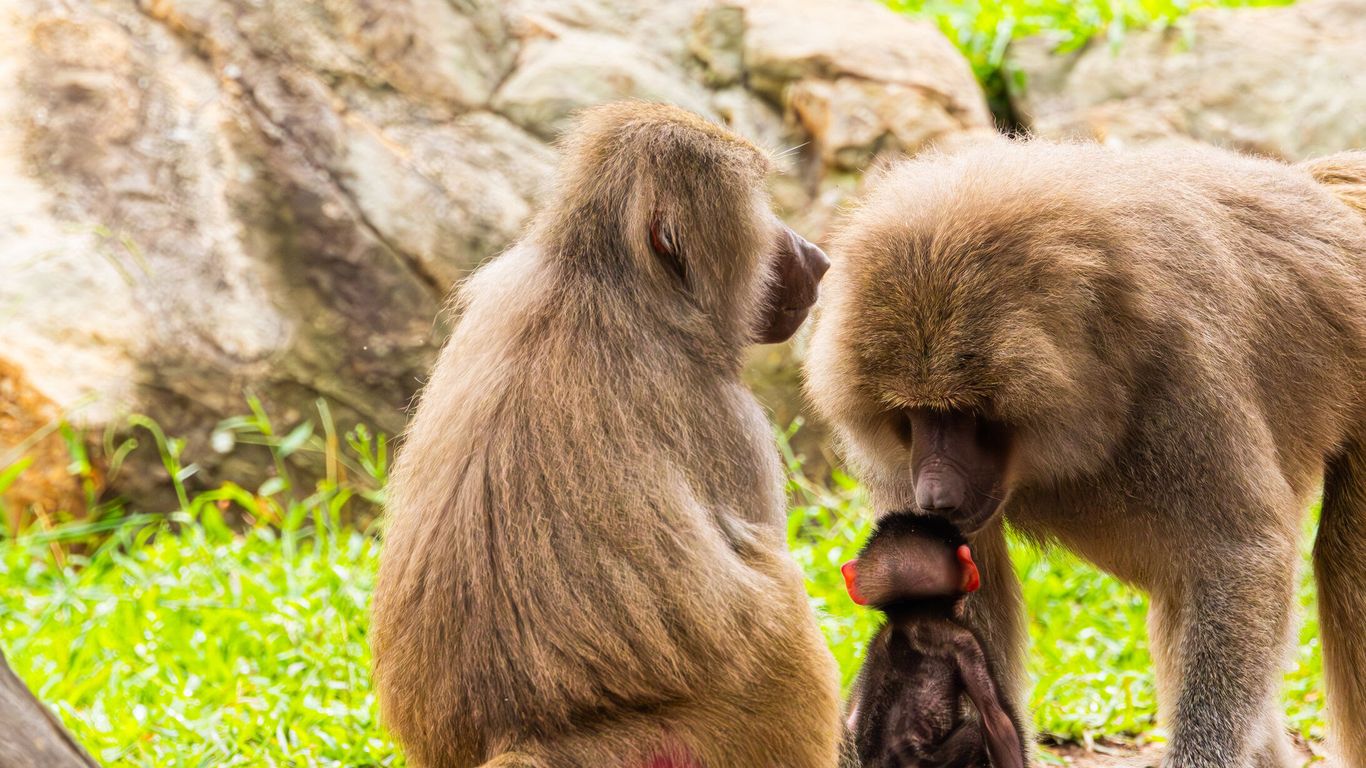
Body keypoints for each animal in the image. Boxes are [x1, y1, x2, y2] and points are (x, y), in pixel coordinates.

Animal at [369, 102, 842, 768]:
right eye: (760, 204)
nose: (816, 257)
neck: (606, 276)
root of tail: (522, 738)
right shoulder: (731, 419)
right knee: (780, 599)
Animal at [841, 512, 1025, 768]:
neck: (912, 612)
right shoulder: (966, 642)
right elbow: (996, 719)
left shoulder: (875, 644)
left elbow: (852, 713)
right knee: (974, 733)